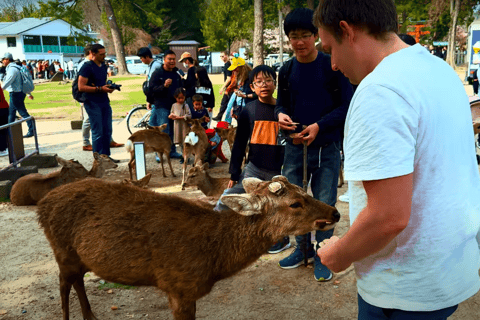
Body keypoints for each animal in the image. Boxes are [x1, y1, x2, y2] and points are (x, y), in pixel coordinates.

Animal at [35, 175, 340, 320]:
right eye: (295, 203)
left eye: (303, 189)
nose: (335, 213)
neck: (214, 260)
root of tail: (41, 204)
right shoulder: (178, 287)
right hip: (62, 249)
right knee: (63, 283)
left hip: (77, 256)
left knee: (77, 280)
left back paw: (90, 315)